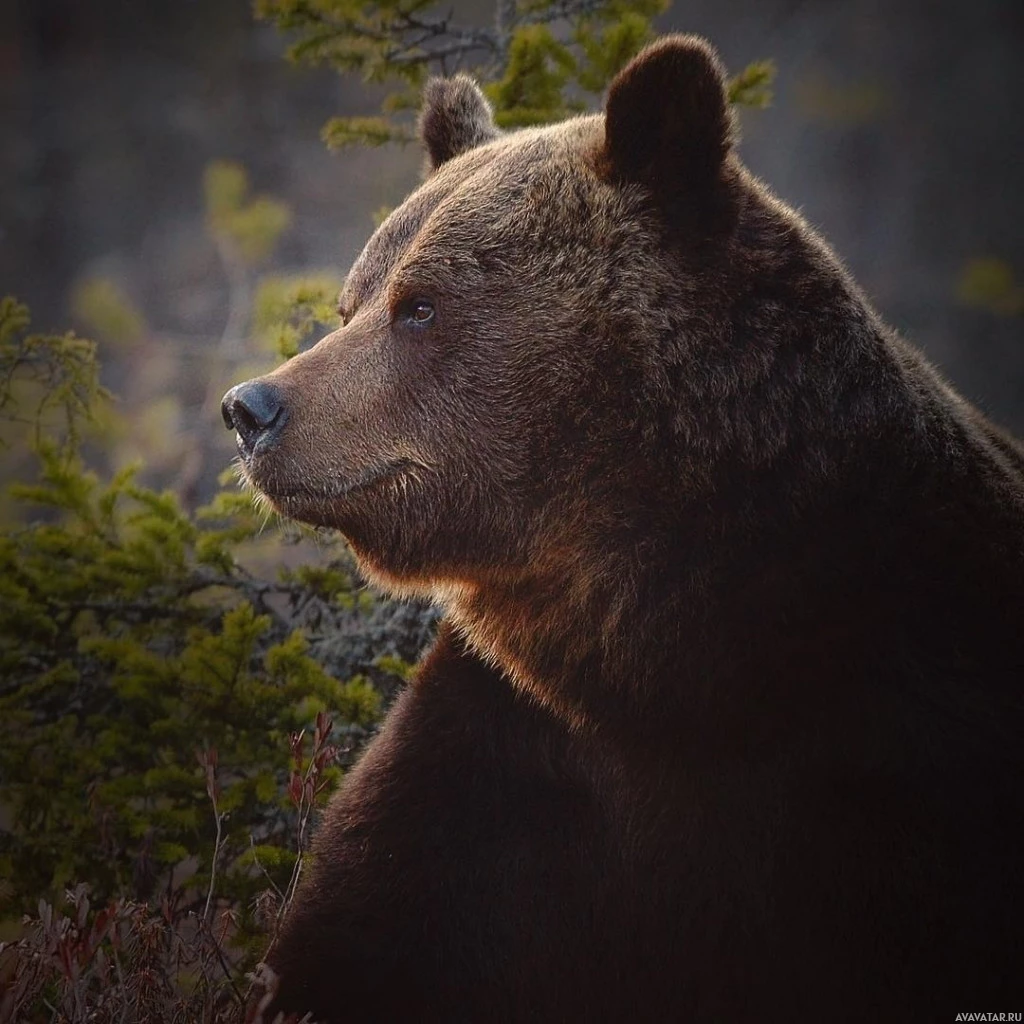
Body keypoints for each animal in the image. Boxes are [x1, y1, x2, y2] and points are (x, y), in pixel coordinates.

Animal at [220, 32, 1019, 1024]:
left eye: (421, 304)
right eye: (350, 302)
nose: (251, 408)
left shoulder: (905, 748)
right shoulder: (505, 766)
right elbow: (359, 933)